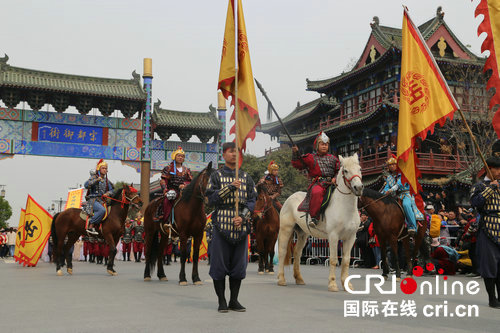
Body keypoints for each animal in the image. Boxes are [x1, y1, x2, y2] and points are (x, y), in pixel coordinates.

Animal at [278, 153, 364, 290]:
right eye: (345, 170)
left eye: (359, 169)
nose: (358, 188)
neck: (345, 207)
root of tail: (290, 198)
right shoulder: (333, 236)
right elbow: (333, 259)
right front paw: (332, 284)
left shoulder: (351, 237)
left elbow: (346, 261)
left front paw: (347, 285)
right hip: (286, 229)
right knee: (283, 251)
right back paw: (281, 279)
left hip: (302, 233)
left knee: (297, 253)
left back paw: (299, 279)